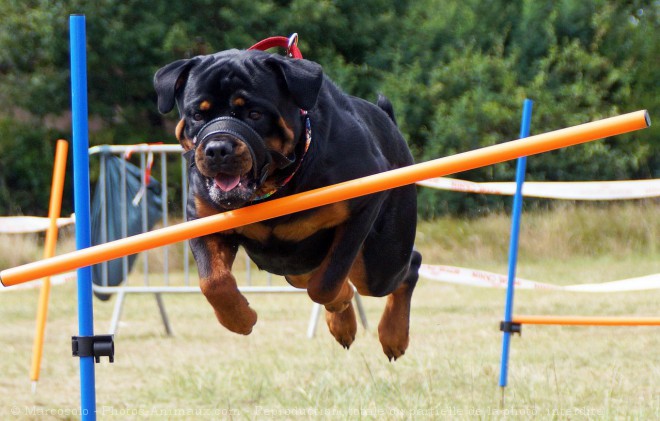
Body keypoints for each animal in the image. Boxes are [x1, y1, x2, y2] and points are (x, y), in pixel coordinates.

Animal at [154, 48, 420, 358]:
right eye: (197, 114)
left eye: (255, 113)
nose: (218, 148)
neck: (275, 185)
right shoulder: (202, 219)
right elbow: (213, 281)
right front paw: (239, 318)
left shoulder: (363, 204)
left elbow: (328, 280)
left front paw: (339, 300)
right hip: (293, 265)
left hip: (381, 259)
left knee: (406, 267)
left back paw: (393, 335)